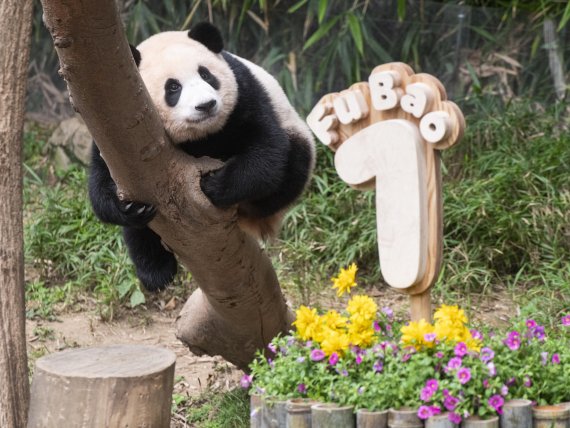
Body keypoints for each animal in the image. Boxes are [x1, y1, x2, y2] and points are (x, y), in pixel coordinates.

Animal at [87, 21, 316, 292]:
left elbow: (267, 150)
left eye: (206, 75)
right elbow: (101, 177)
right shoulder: (114, 129)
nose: (206, 105)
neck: (200, 137)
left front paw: (213, 185)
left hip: (294, 137)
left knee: (294, 161)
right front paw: (126, 207)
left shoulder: (245, 93)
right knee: (139, 231)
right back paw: (156, 272)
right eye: (173, 87)